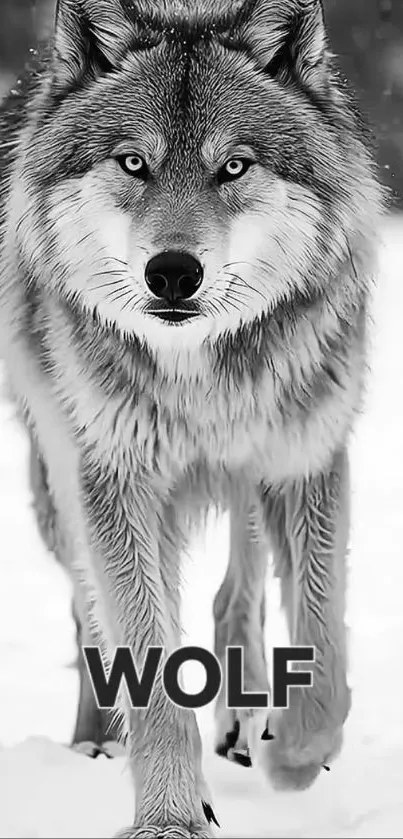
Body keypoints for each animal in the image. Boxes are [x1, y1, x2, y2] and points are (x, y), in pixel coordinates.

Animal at [0, 0, 382, 835]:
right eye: (132, 163)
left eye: (232, 166)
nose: (172, 272)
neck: (203, 374)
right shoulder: (113, 481)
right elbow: (143, 655)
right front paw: (169, 816)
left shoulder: (305, 457)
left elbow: (321, 626)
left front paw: (296, 756)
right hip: (58, 491)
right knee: (88, 616)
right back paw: (97, 740)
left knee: (237, 587)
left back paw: (247, 723)